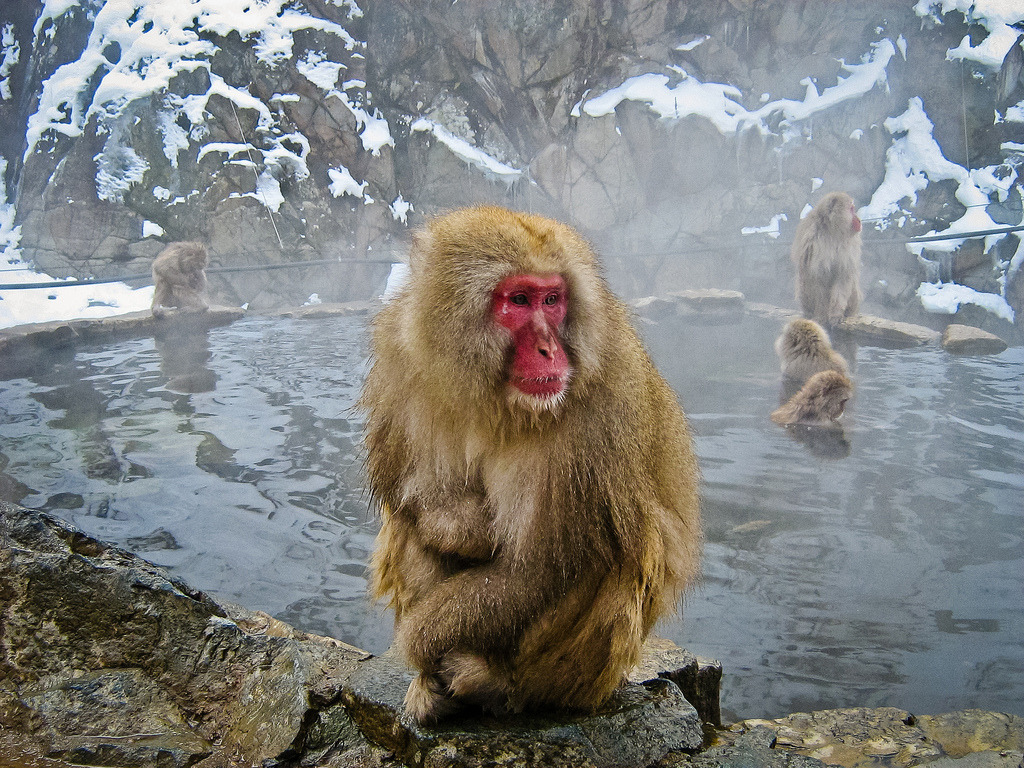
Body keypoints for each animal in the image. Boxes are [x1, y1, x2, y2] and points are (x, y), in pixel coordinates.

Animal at [362, 205, 704, 729]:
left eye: (553, 299)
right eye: (519, 300)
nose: (549, 349)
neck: (494, 400)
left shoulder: (598, 417)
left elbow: (535, 573)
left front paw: (416, 642)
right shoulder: (400, 362)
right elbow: (406, 496)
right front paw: (457, 522)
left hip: (580, 676)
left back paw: (496, 686)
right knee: (409, 527)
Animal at [790, 192, 864, 327]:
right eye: (851, 209)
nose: (859, 219)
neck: (833, 231)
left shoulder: (851, 244)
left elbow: (843, 276)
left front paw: (836, 314)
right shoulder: (813, 239)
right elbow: (817, 277)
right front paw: (821, 315)